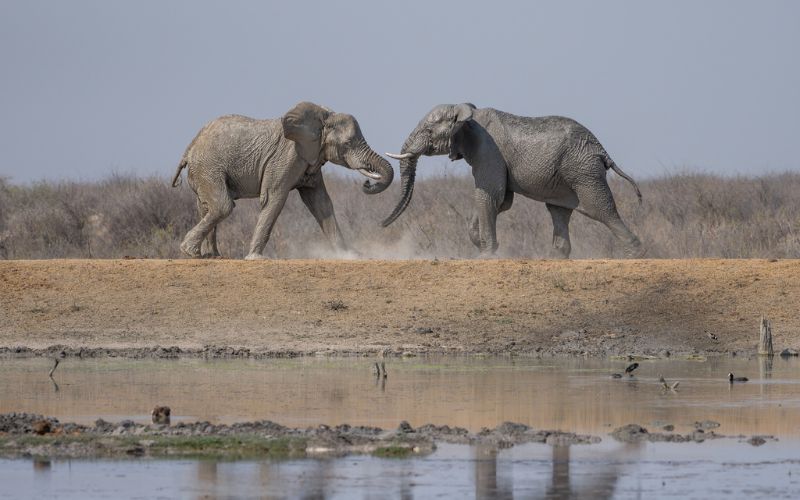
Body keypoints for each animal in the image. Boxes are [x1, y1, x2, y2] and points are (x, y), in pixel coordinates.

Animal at [171, 101, 393, 259]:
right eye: (347, 144)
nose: (367, 184)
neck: (321, 118)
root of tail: (191, 146)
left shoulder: (311, 157)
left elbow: (321, 203)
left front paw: (349, 255)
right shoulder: (288, 157)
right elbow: (274, 198)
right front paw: (256, 258)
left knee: (206, 207)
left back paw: (212, 256)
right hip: (208, 167)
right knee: (222, 206)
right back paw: (190, 251)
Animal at [383, 103, 643, 258]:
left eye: (428, 131)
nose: (383, 224)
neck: (468, 113)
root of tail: (602, 150)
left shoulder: (488, 150)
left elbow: (490, 195)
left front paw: (485, 255)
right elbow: (500, 201)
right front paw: (482, 244)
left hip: (583, 171)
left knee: (602, 210)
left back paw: (634, 254)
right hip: (567, 175)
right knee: (558, 211)